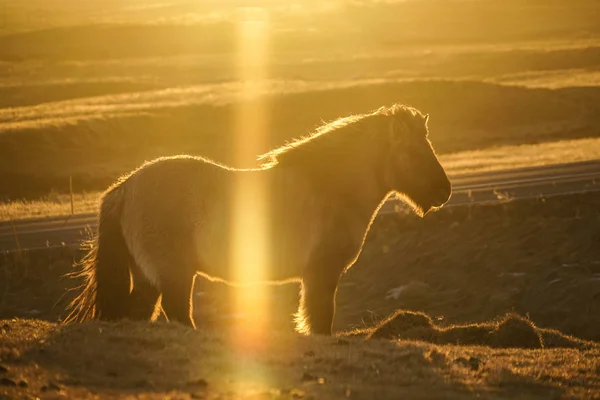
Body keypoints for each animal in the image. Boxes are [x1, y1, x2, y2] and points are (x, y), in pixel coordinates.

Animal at [65, 103, 450, 334]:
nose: (444, 191)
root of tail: (126, 187)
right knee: (177, 314)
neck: (329, 185)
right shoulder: (321, 275)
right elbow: (320, 321)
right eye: (413, 151)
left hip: (149, 278)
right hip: (173, 276)